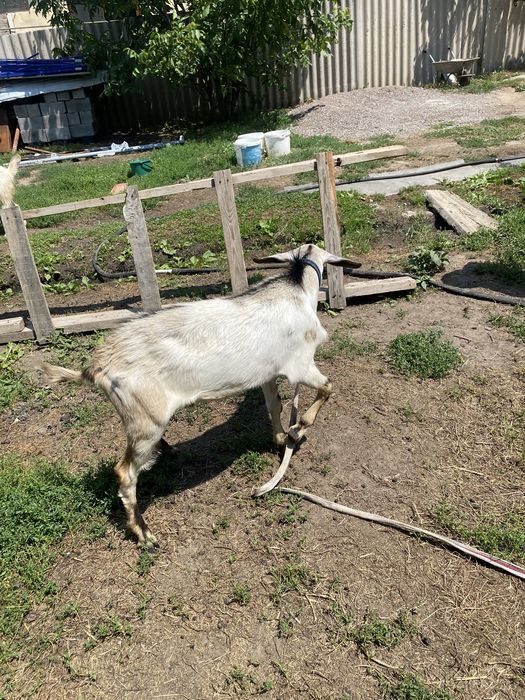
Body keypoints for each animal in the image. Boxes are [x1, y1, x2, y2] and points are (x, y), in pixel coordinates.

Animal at [37, 244, 360, 545]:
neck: (296, 289)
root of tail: (97, 367)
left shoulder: (267, 372)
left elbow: (274, 405)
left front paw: (281, 439)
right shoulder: (299, 365)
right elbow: (327, 387)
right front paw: (299, 427)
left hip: (139, 417)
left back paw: (167, 451)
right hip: (148, 420)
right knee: (124, 473)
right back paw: (144, 534)